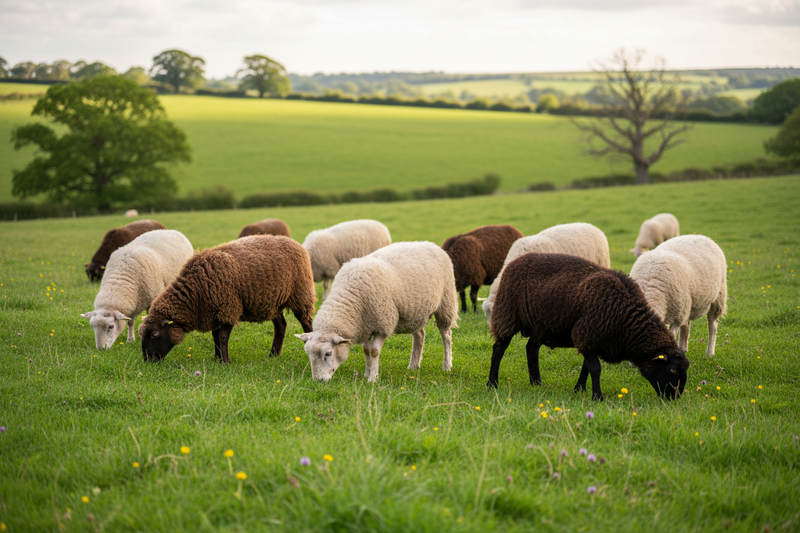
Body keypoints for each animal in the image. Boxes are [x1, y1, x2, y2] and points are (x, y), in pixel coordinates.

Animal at [139, 235, 316, 363]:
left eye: (154, 335)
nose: (148, 361)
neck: (195, 294)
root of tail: (294, 242)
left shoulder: (228, 308)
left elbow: (223, 337)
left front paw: (225, 361)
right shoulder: (214, 312)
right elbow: (215, 336)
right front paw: (217, 358)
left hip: (301, 294)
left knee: (306, 323)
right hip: (273, 302)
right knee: (281, 326)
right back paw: (273, 354)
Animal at [295, 241, 458, 382]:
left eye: (328, 353)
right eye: (308, 354)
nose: (319, 381)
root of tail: (432, 244)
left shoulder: (383, 324)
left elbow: (374, 351)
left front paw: (373, 379)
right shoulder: (366, 326)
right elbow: (366, 350)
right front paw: (367, 374)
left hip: (446, 303)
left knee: (446, 336)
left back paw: (447, 365)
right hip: (414, 313)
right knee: (420, 335)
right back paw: (414, 365)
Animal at [487, 253, 690, 400]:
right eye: (672, 370)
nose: (674, 397)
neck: (625, 319)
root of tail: (514, 262)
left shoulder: (592, 339)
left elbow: (586, 367)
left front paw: (580, 389)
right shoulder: (587, 334)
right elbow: (596, 368)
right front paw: (597, 396)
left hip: (541, 326)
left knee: (531, 349)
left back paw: (536, 382)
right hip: (506, 314)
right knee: (498, 349)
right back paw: (492, 383)